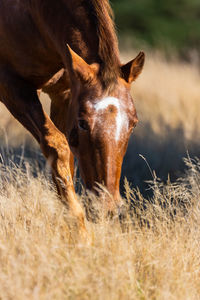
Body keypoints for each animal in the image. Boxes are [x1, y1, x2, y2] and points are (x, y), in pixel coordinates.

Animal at [0, 0, 145, 244]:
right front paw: (81, 234)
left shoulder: (64, 92)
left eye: (133, 124)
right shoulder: (12, 87)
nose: (107, 209)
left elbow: (64, 157)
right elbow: (57, 145)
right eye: (83, 122)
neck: (33, 13)